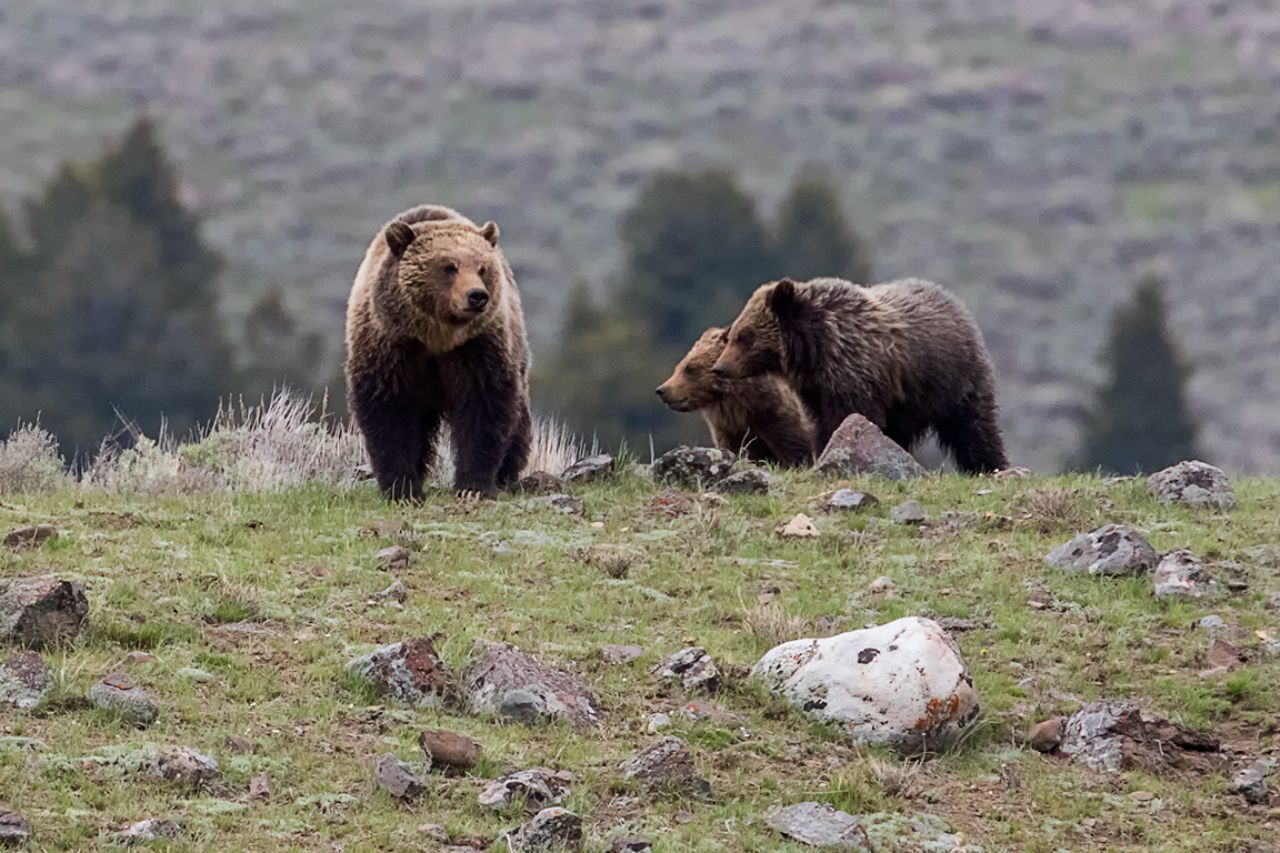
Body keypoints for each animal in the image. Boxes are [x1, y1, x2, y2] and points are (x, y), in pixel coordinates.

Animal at [345, 204, 531, 500]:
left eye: (482, 268)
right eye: (449, 266)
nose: (477, 295)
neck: (436, 337)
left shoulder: (477, 349)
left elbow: (483, 409)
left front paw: (473, 485)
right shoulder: (391, 348)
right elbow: (390, 414)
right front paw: (403, 488)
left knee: (517, 420)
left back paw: (507, 472)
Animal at [655, 326, 816, 466]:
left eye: (689, 368)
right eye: (679, 366)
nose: (662, 390)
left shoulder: (778, 418)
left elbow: (795, 448)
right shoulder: (728, 431)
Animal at [712, 277, 1008, 474]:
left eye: (743, 336)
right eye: (733, 333)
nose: (720, 367)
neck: (815, 350)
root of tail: (954, 302)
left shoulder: (854, 377)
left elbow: (848, 418)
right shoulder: (816, 391)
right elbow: (823, 425)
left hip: (952, 380)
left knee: (972, 426)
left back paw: (988, 465)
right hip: (907, 402)